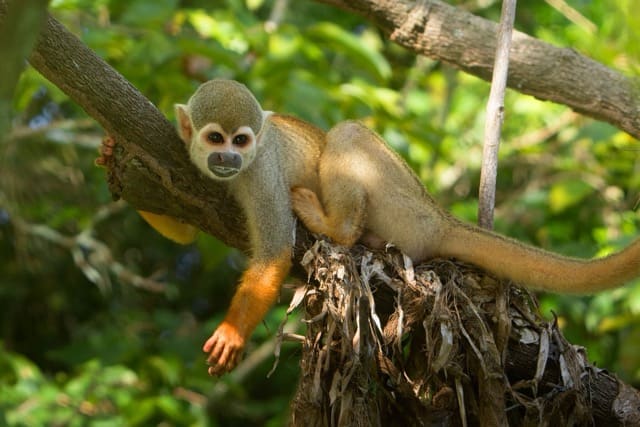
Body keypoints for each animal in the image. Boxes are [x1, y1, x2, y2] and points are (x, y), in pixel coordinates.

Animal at [102, 79, 640, 375]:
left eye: (242, 140)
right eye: (215, 139)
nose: (228, 159)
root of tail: (438, 214)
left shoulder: (261, 173)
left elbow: (273, 253)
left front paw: (233, 333)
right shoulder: (186, 159)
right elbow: (185, 231)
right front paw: (112, 157)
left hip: (402, 201)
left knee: (345, 135)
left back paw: (338, 229)